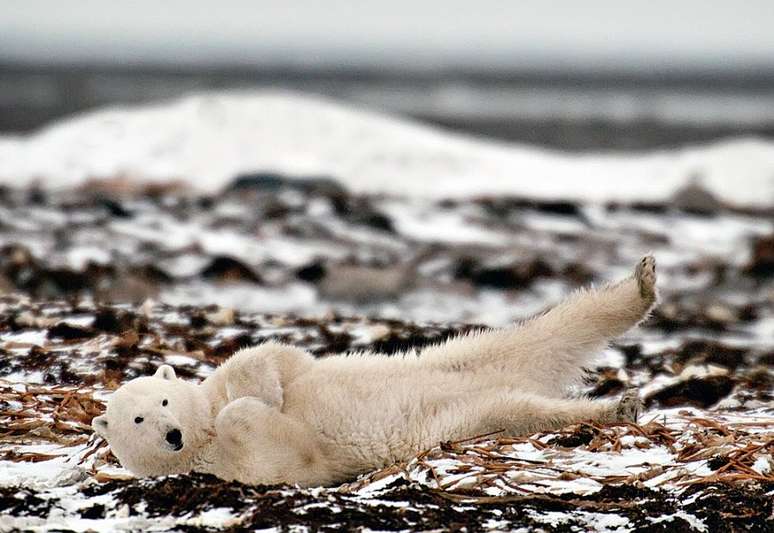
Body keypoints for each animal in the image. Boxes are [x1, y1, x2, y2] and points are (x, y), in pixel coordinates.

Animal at [91, 256, 660, 484]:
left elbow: (272, 359)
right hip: (462, 416)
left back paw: (642, 284)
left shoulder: (260, 374)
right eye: (137, 420)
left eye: (163, 402)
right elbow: (284, 459)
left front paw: (264, 395)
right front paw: (252, 411)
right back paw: (617, 406)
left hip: (464, 355)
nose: (171, 434)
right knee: (520, 410)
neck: (202, 426)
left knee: (553, 329)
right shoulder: (222, 467)